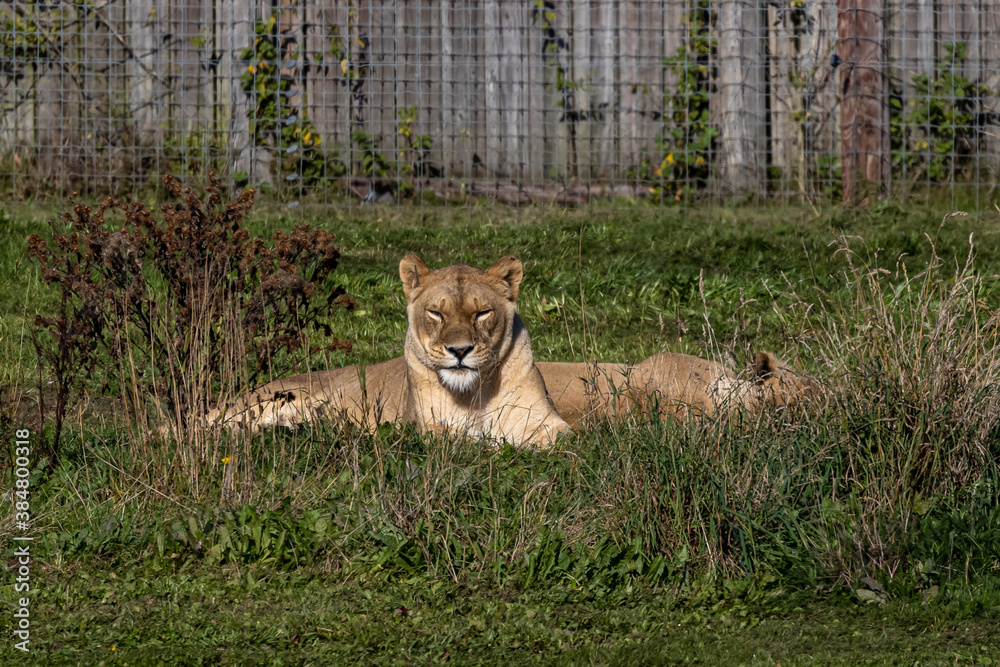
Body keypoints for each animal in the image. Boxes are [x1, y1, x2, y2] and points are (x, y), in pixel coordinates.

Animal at [204, 255, 572, 448]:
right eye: (436, 314)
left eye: (482, 313)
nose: (460, 350)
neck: (474, 392)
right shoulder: (431, 429)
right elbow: (469, 442)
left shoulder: (545, 421)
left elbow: (561, 437)